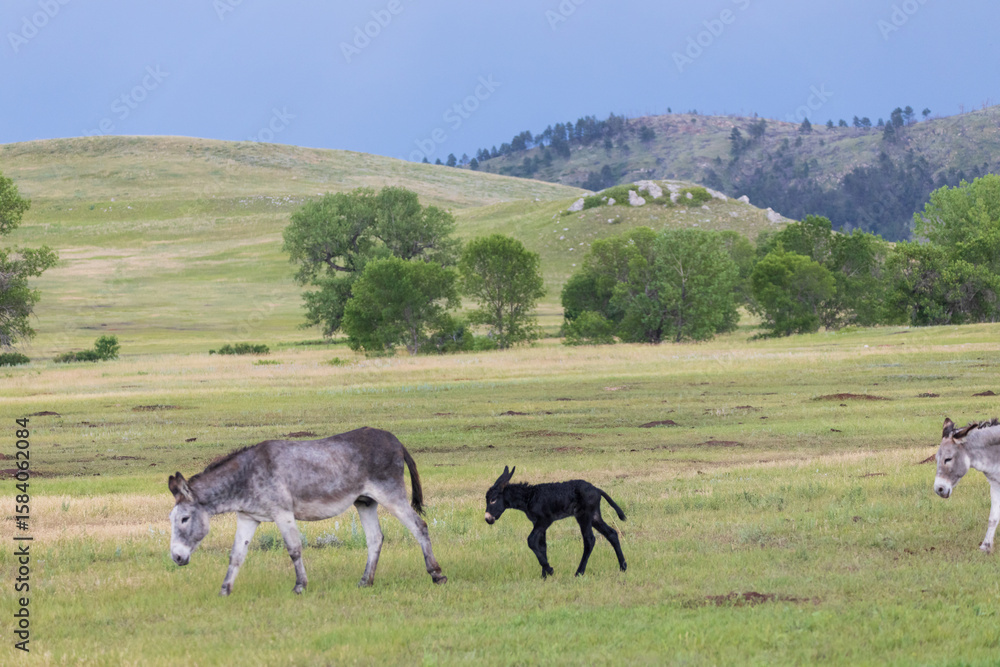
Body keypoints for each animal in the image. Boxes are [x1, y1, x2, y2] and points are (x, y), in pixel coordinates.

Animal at [167, 427, 447, 595]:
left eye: (184, 518)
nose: (177, 558)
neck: (246, 476)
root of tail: (395, 439)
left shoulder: (282, 514)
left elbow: (294, 549)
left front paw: (300, 586)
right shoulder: (248, 517)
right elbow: (236, 555)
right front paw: (225, 590)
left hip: (391, 495)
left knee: (419, 527)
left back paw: (437, 575)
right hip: (365, 501)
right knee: (375, 538)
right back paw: (365, 581)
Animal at [934, 417, 1000, 552]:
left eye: (948, 459)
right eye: (936, 459)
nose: (939, 489)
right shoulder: (995, 484)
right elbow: (993, 518)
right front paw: (986, 546)